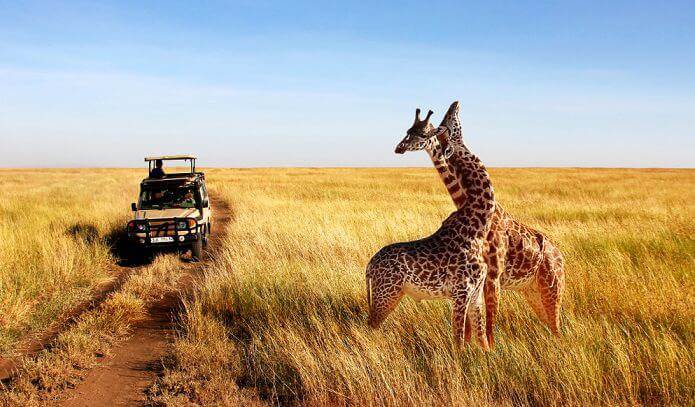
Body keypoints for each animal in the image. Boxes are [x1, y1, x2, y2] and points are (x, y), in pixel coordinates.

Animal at [368, 109, 498, 350]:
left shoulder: (476, 293)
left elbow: (482, 338)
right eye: (409, 131)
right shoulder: (461, 292)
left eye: (421, 133)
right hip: (386, 293)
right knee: (370, 325)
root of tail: (369, 266)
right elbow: (458, 339)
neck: (477, 227)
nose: (399, 147)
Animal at [396, 102, 564, 348]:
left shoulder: (491, 276)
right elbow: (472, 323)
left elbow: (487, 322)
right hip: (533, 291)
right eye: (409, 131)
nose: (399, 148)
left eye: (424, 132)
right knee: (551, 326)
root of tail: (560, 254)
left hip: (552, 287)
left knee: (557, 326)